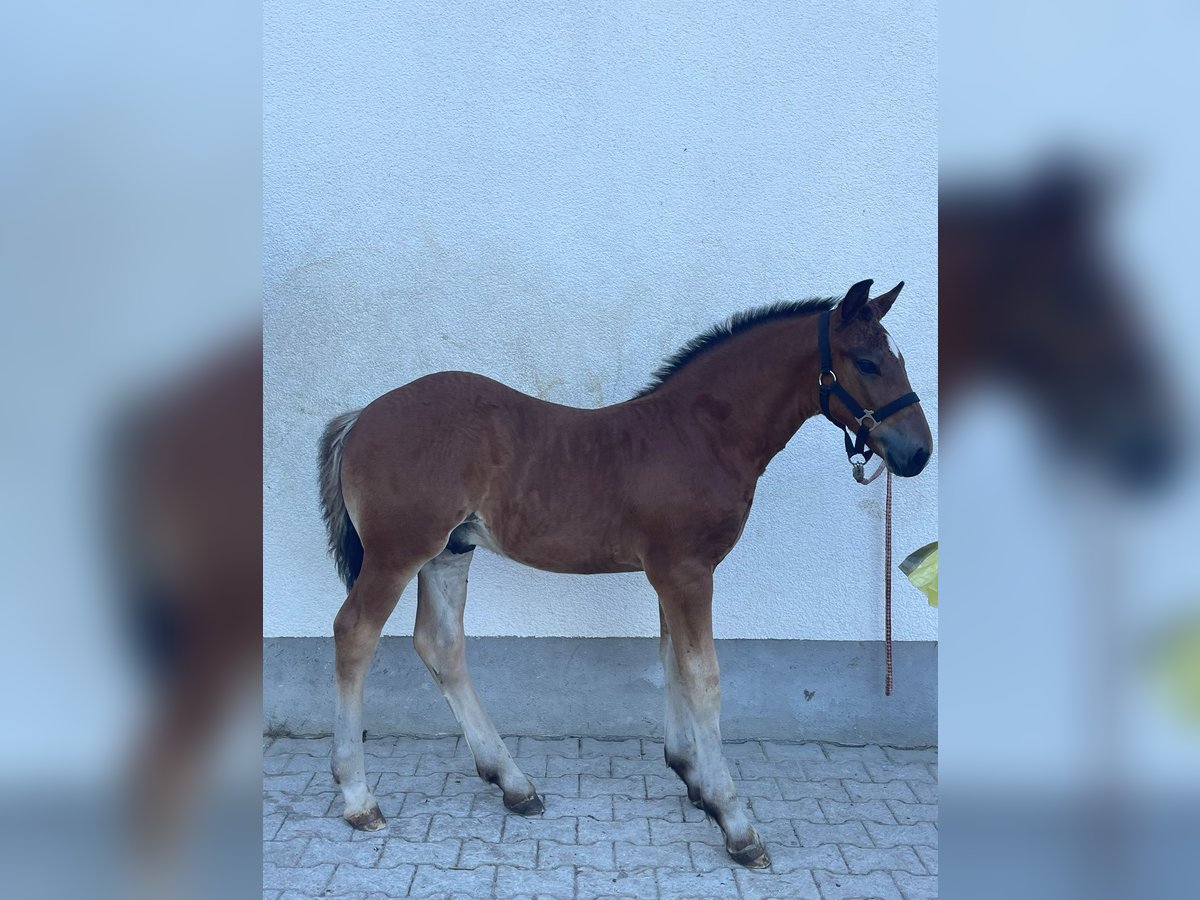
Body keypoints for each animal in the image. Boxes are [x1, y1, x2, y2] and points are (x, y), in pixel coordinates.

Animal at [316, 278, 926, 868]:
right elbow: (703, 678)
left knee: (440, 645)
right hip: (398, 553)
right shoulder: (686, 573)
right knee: (355, 633)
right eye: (868, 362)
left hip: (450, 552)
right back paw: (359, 798)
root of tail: (360, 417)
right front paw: (735, 822)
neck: (702, 435)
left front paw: (692, 777)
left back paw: (514, 783)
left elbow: (672, 661)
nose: (918, 452)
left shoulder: (670, 575)